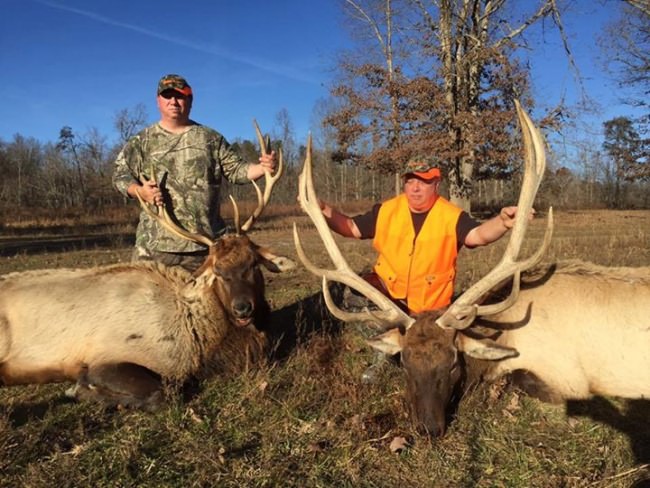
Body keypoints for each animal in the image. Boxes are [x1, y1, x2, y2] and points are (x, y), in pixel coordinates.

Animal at [0, 122, 295, 411]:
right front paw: (83, 392)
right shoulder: (107, 356)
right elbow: (163, 394)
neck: (200, 344)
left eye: (253, 264)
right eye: (218, 273)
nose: (243, 307)